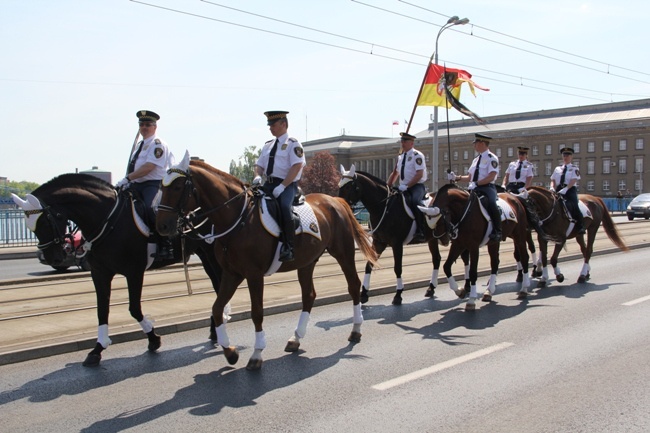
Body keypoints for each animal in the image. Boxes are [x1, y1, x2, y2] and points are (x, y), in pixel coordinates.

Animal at [10, 172, 221, 364]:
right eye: (31, 226)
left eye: (45, 221)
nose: (53, 256)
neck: (106, 218)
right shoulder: (100, 273)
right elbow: (102, 310)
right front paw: (97, 349)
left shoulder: (134, 272)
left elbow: (134, 308)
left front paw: (153, 338)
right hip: (204, 253)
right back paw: (214, 330)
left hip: (211, 252)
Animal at [156, 151, 378, 368]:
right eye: (161, 186)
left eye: (177, 186)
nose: (162, 226)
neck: (238, 219)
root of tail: (335, 201)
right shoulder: (231, 273)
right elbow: (217, 308)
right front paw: (230, 351)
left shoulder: (254, 275)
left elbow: (257, 312)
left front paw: (256, 354)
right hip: (307, 262)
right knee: (309, 295)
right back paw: (296, 339)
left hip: (344, 253)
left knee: (353, 285)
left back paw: (356, 330)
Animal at [336, 164, 468, 306]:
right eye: (339, 185)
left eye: (348, 186)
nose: (339, 205)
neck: (385, 207)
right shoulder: (379, 242)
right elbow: (369, 264)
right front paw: (364, 293)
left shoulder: (397, 244)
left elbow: (397, 268)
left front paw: (398, 294)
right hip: (432, 239)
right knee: (437, 259)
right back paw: (431, 288)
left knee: (464, 257)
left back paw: (466, 286)